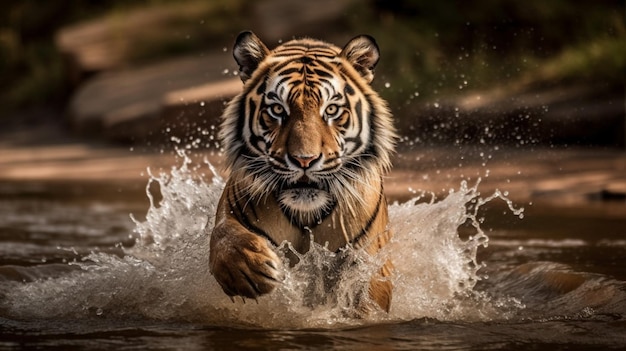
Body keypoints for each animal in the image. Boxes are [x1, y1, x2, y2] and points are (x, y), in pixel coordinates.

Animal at [208, 31, 394, 314]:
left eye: (331, 110)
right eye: (277, 109)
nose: (304, 160)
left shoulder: (369, 257)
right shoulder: (230, 212)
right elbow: (223, 236)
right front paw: (249, 270)